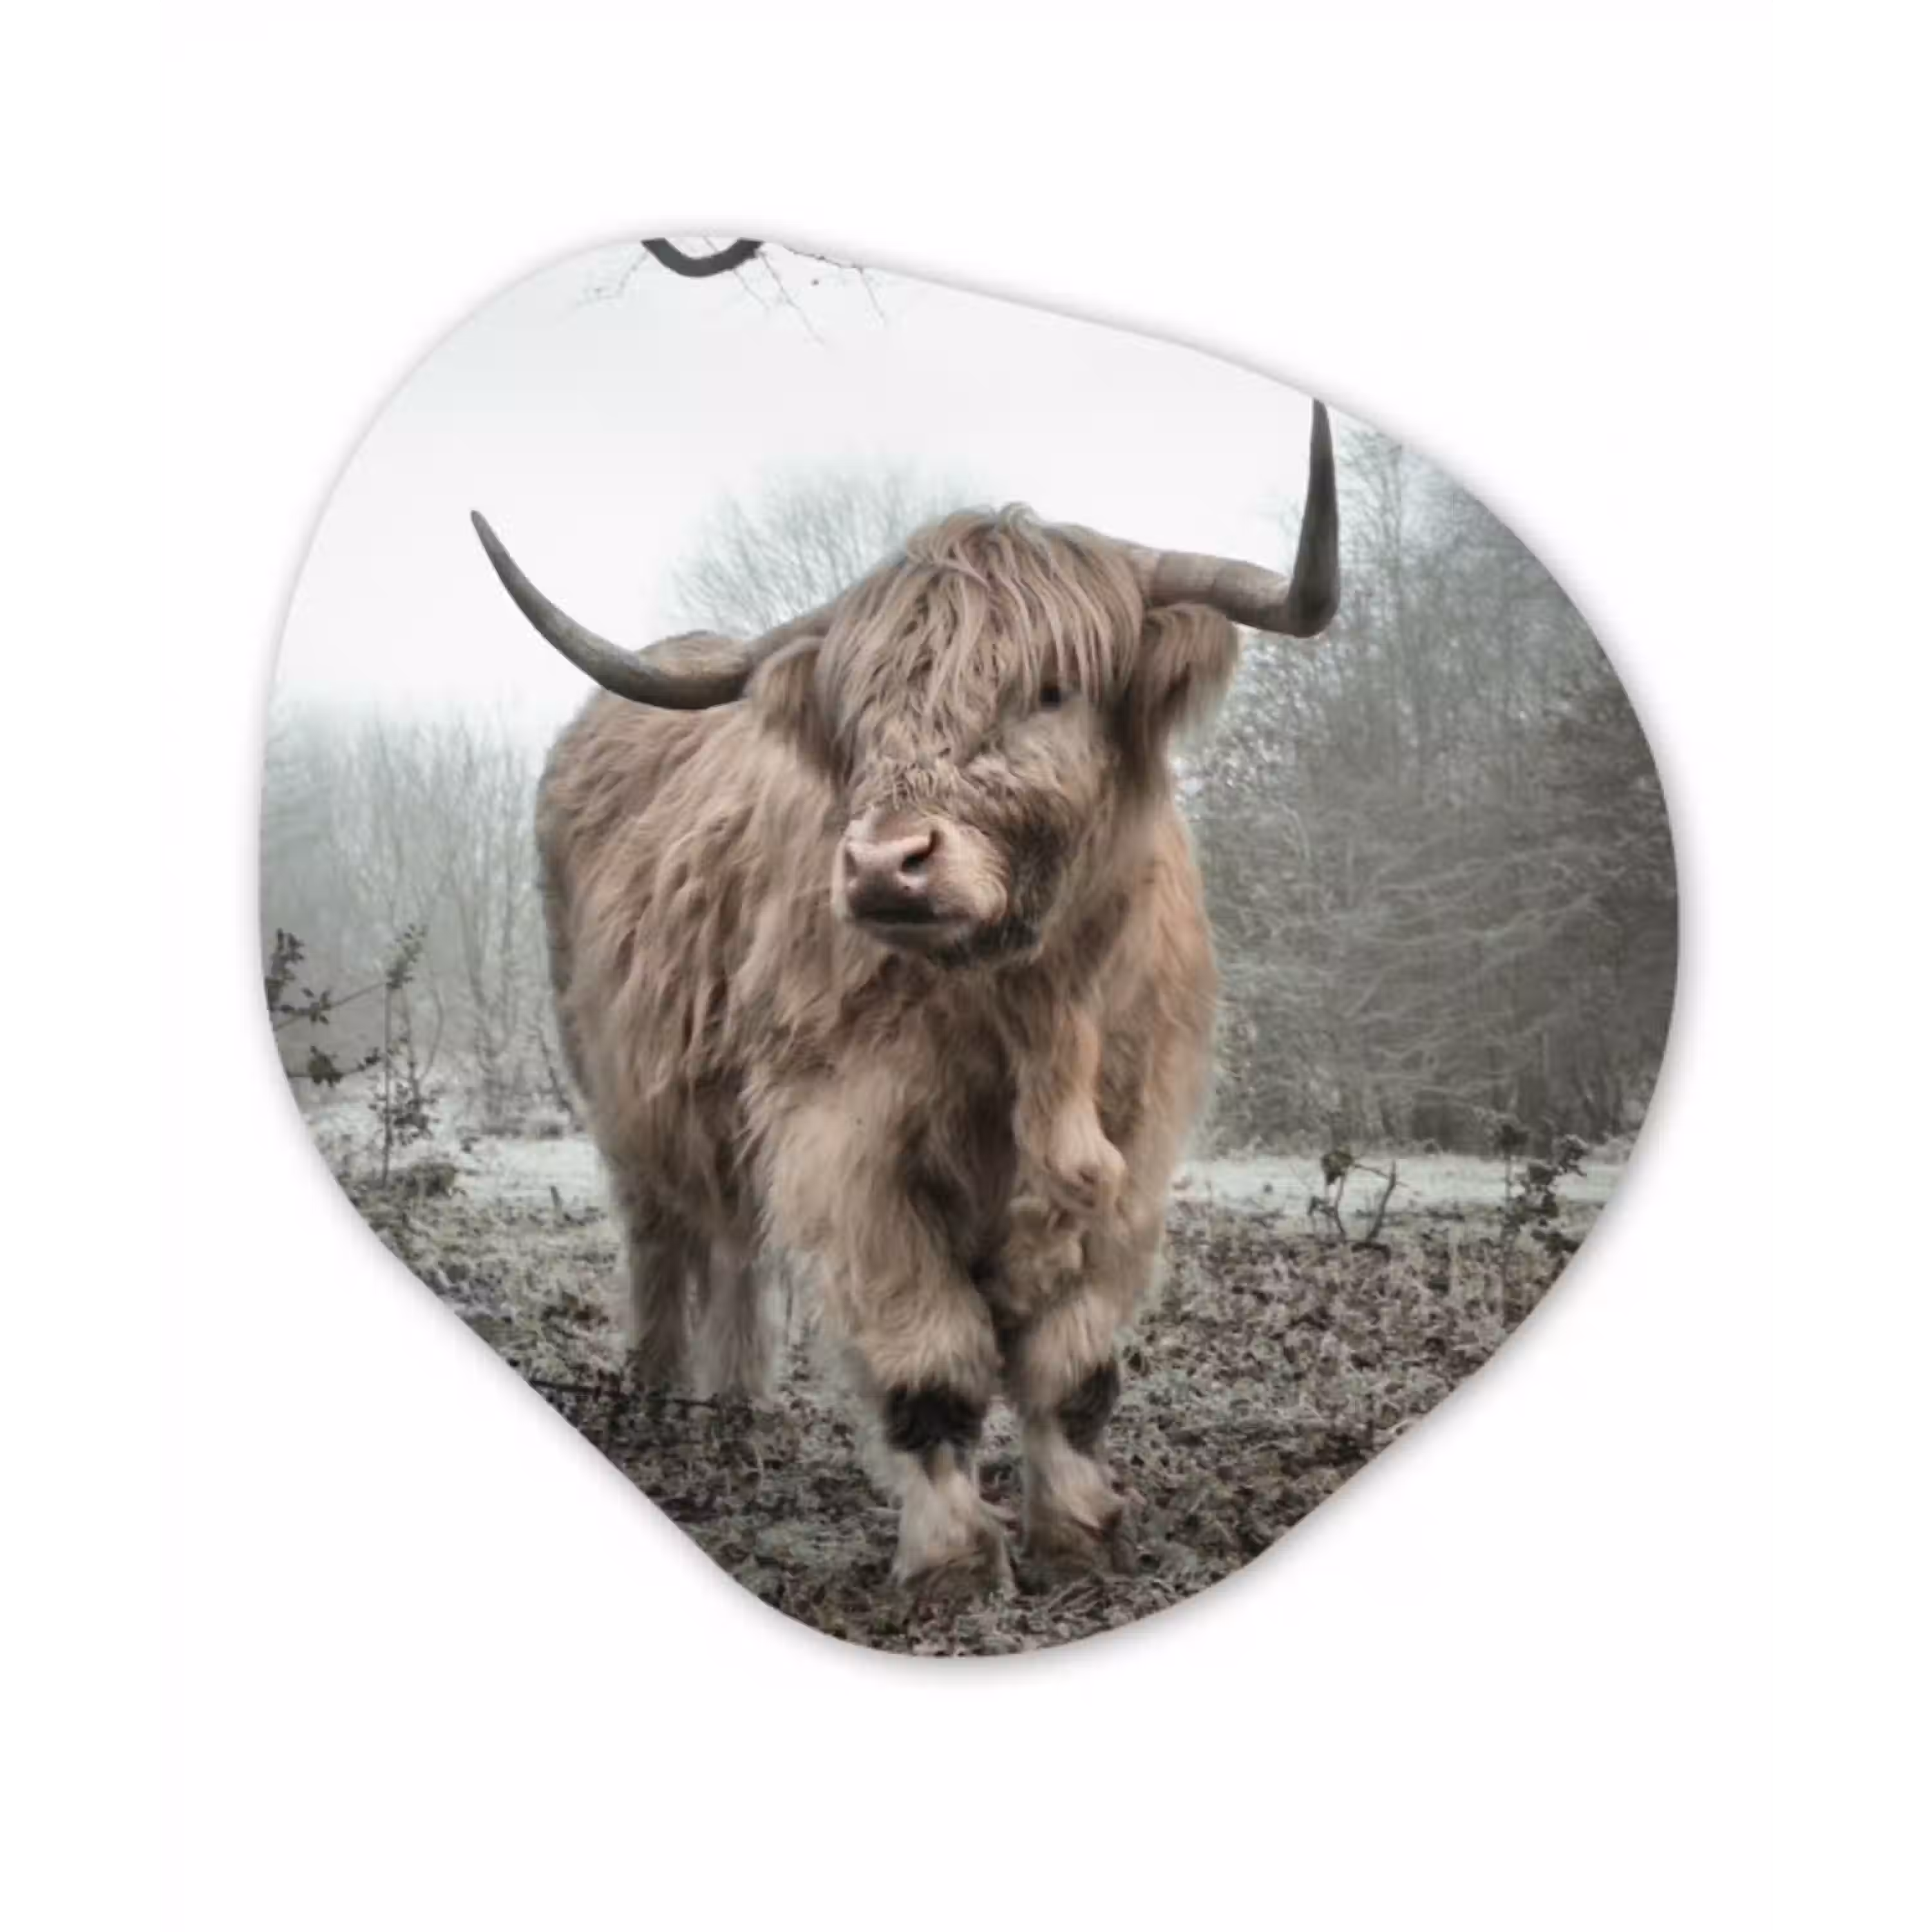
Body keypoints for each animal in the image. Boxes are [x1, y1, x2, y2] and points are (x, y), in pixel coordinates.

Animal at [470, 406, 1338, 1596]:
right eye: (861, 713)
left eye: (1051, 690)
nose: (886, 864)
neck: (1032, 1013)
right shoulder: (846, 1144)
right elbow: (932, 1362)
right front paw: (954, 1562)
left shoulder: (1137, 1146)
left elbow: (1073, 1367)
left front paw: (1080, 1533)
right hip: (617, 1088)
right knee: (663, 1237)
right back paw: (658, 1399)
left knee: (734, 1243)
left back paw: (738, 1403)